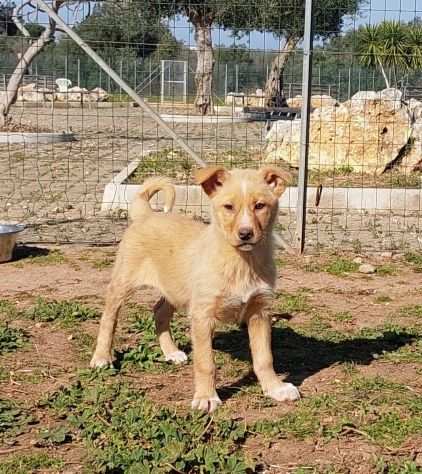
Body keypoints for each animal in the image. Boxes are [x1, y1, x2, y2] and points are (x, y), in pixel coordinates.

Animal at [90, 167, 300, 412]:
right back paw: (102, 357)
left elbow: (265, 358)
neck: (241, 262)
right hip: (124, 282)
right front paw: (206, 397)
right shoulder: (202, 315)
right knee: (109, 318)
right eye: (228, 207)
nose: (245, 234)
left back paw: (171, 352)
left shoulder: (260, 311)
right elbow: (205, 363)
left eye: (260, 206)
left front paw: (275, 388)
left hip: (175, 288)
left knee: (159, 311)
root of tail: (147, 214)